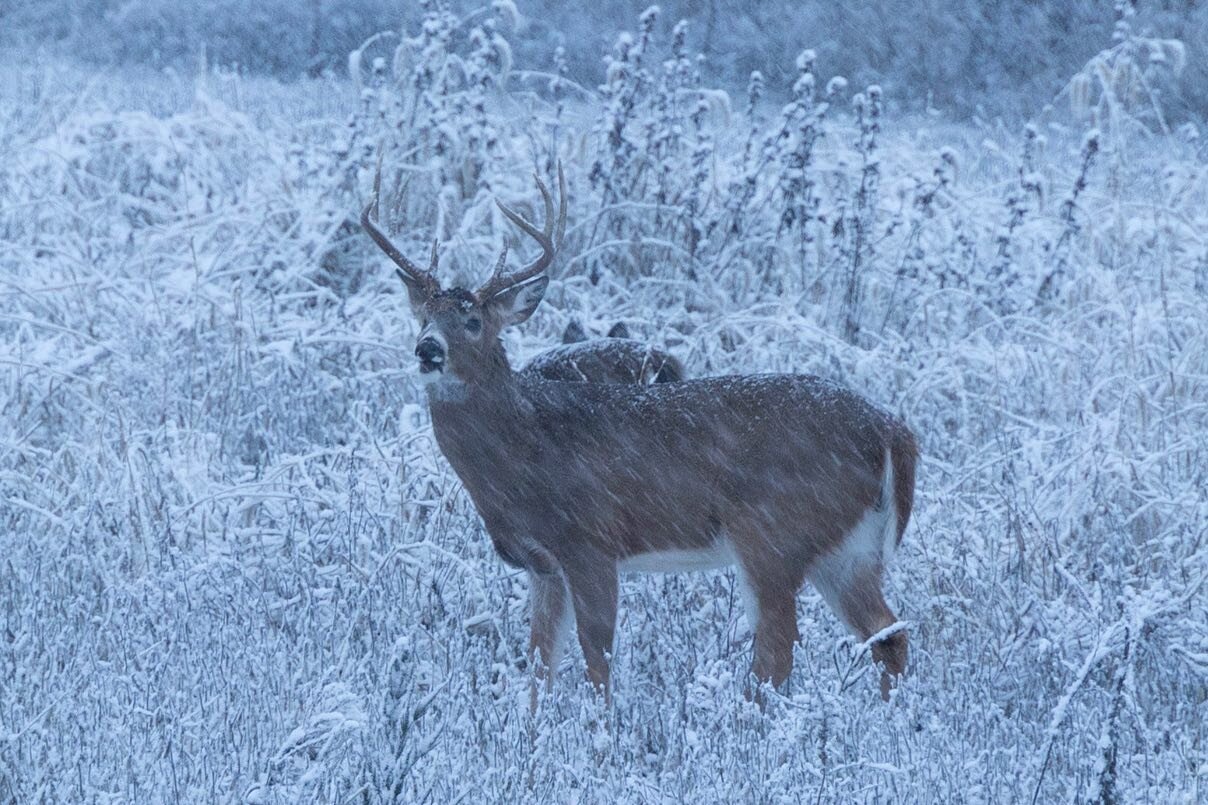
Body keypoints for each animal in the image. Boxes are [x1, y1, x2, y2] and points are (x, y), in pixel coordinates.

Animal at [357, 165, 913, 701]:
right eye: (423, 317)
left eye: (471, 320)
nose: (428, 349)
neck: (526, 449)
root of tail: (890, 428)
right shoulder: (543, 565)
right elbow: (539, 666)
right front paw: (532, 730)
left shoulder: (590, 542)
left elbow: (597, 659)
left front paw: (599, 730)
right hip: (846, 547)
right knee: (888, 633)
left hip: (772, 534)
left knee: (779, 653)